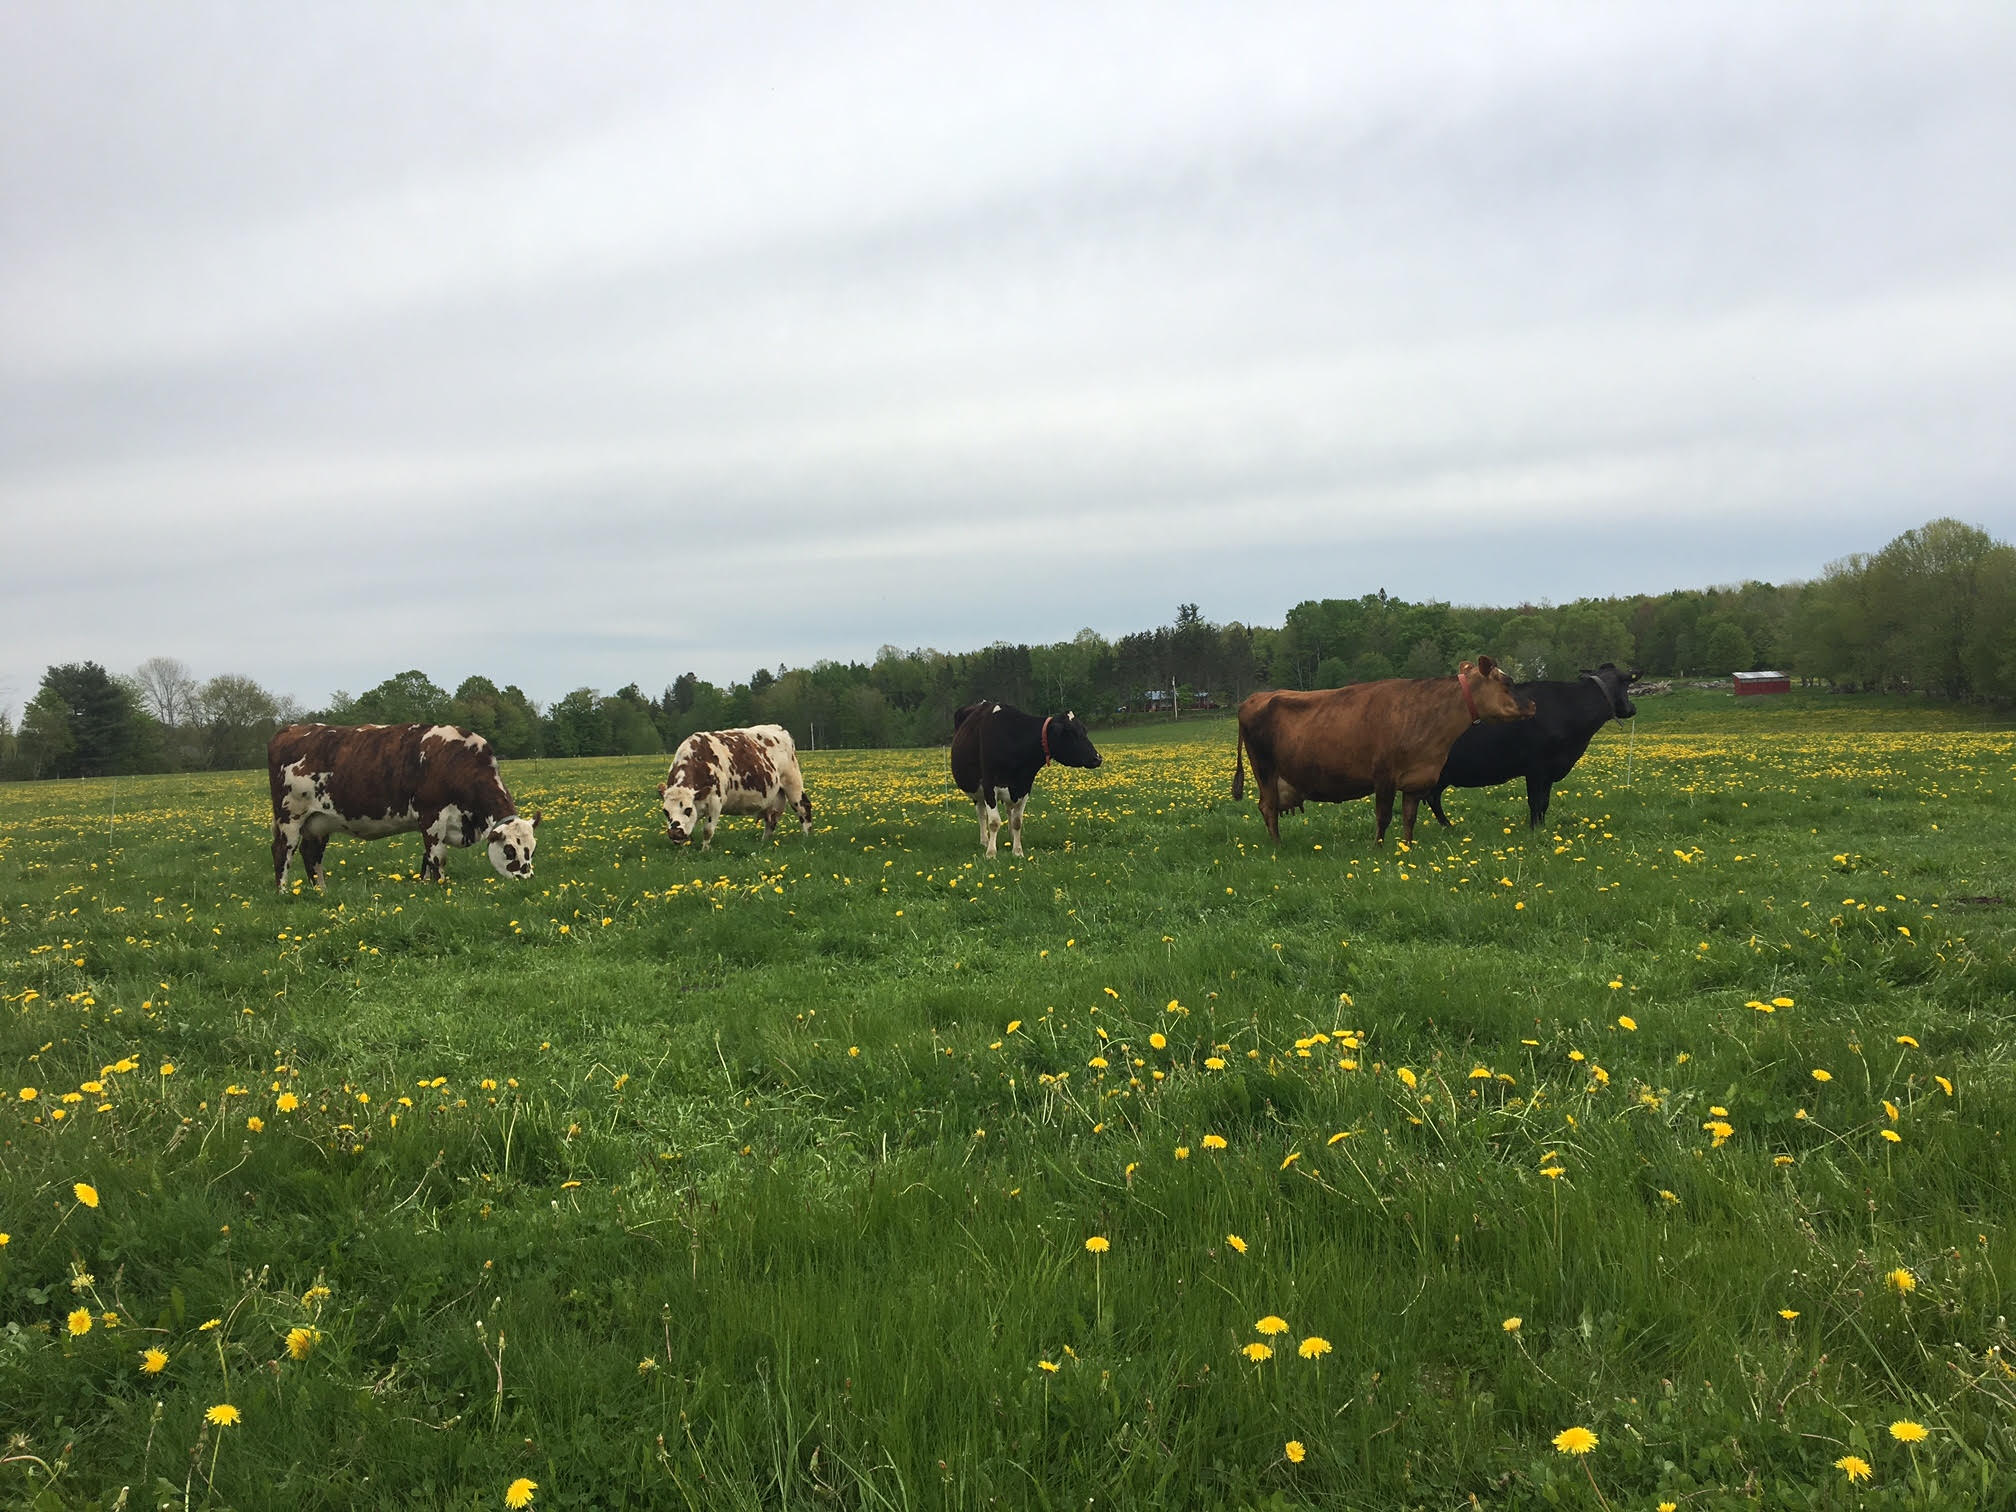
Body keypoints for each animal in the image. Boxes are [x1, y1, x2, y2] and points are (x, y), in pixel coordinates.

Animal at [264, 725, 540, 895]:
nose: (526, 879)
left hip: (318, 822)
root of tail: (291, 729)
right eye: (509, 849)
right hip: (290, 816)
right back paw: (284, 892)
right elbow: (437, 857)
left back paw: (321, 891)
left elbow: (427, 858)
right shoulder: (431, 816)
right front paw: (440, 888)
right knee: (282, 851)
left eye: (532, 850)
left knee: (311, 854)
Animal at [665, 725, 814, 854]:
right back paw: (764, 842)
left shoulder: (716, 800)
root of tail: (779, 728)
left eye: (688, 809)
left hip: (792, 782)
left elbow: (707, 830)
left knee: (803, 807)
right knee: (771, 819)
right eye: (665, 812)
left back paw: (806, 838)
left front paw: (704, 851)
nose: (674, 833)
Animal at [947, 705, 1104, 858]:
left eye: (1084, 730)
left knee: (1008, 810)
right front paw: (991, 853)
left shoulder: (1025, 786)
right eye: (1071, 732)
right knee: (981, 813)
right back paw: (985, 841)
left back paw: (1010, 836)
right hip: (976, 790)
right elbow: (994, 822)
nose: (1097, 758)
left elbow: (1017, 822)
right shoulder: (989, 786)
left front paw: (1017, 851)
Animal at [1217, 657, 1532, 846]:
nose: (1533, 704)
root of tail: (1254, 698)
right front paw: (1379, 848)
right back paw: (1277, 845)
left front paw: (1407, 846)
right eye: (1508, 683)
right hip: (1265, 769)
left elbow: (1409, 817)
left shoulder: (1416, 780)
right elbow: (1384, 816)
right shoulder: (1383, 775)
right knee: (1268, 807)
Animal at [1419, 661, 1636, 830]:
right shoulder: (1536, 768)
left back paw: (1448, 827)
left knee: (1433, 797)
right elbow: (1535, 801)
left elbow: (1544, 802)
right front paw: (1534, 829)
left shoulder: (1550, 770)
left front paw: (1541, 827)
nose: (1633, 708)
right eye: (1626, 684)